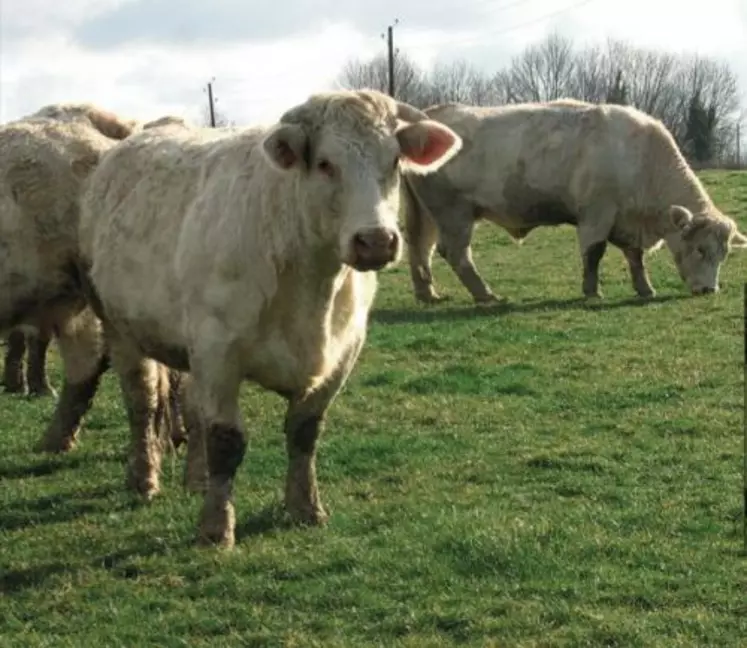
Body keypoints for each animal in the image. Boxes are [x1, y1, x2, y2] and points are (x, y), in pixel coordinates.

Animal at [76, 88, 462, 548]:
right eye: (325, 163)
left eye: (394, 162)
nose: (376, 241)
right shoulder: (218, 351)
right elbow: (226, 441)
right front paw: (216, 529)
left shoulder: (342, 352)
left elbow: (304, 432)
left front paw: (305, 507)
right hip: (118, 326)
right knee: (142, 400)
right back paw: (143, 478)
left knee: (190, 407)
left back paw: (197, 480)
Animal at [404, 99, 747, 306]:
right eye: (700, 249)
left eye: (724, 254)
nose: (709, 290)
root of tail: (430, 116)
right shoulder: (597, 215)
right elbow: (593, 254)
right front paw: (592, 292)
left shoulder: (625, 220)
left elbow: (634, 257)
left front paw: (644, 288)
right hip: (453, 214)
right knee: (456, 254)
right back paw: (485, 294)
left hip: (428, 216)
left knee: (420, 249)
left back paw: (428, 294)